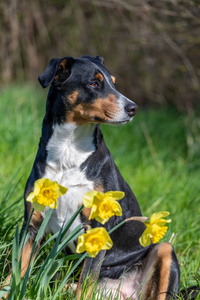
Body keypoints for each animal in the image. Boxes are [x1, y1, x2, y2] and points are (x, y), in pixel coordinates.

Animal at [11, 55, 181, 298]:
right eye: (94, 83)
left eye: (114, 83)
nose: (133, 108)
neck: (68, 152)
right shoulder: (32, 224)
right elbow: (15, 272)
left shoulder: (96, 230)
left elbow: (86, 283)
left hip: (164, 249)